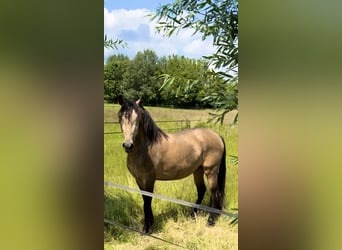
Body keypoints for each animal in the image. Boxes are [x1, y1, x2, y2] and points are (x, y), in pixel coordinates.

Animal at [117, 96, 227, 233]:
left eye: (137, 119)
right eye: (120, 117)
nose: (128, 145)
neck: (145, 148)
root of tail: (217, 135)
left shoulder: (149, 179)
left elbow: (148, 200)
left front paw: (148, 228)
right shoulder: (139, 180)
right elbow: (145, 200)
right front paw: (148, 225)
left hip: (211, 170)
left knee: (215, 192)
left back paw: (210, 221)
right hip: (198, 170)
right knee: (202, 190)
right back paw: (194, 215)